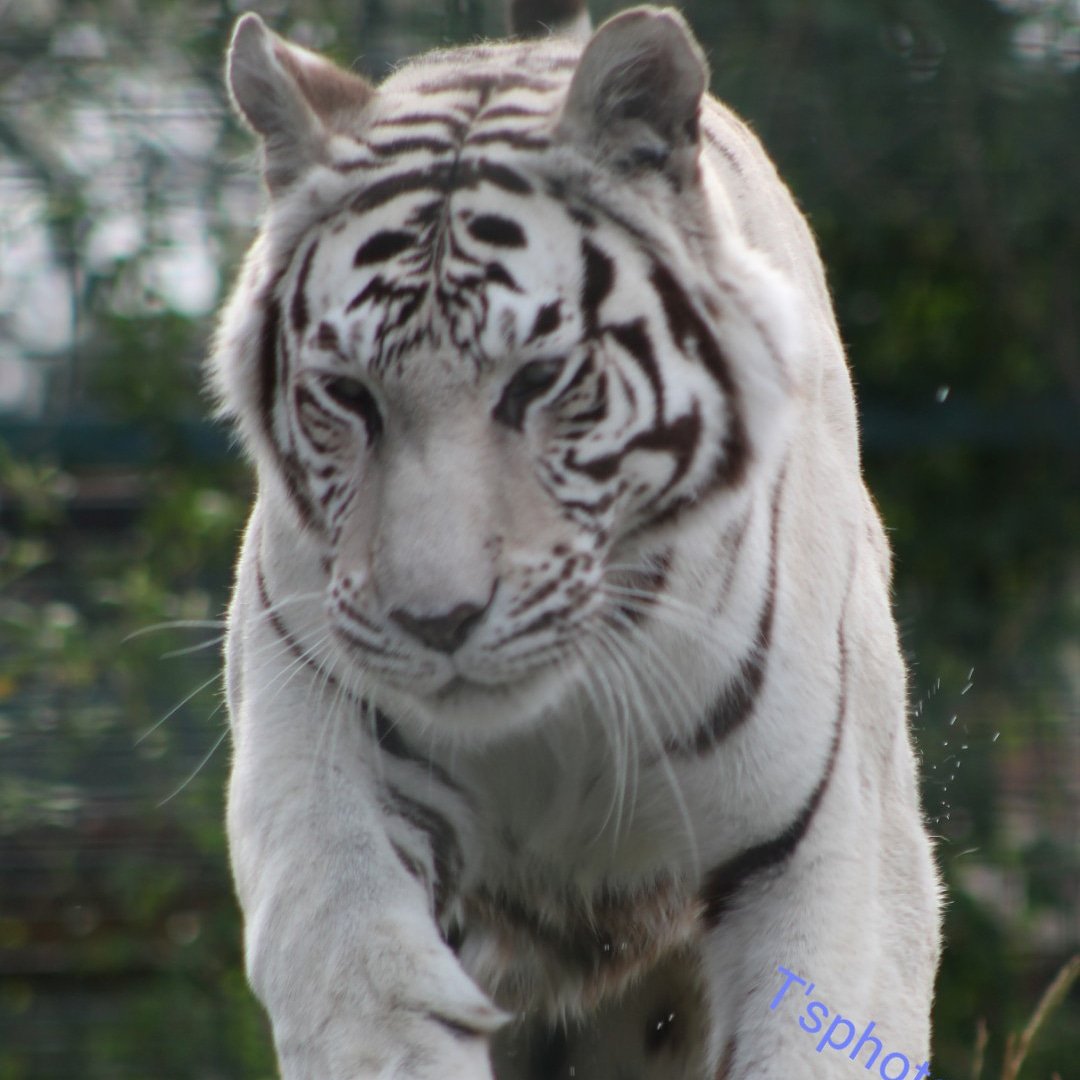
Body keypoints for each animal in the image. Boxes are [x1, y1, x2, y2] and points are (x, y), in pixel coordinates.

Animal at [210, 2, 942, 1077]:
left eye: (538, 379)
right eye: (348, 394)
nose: (439, 621)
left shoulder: (827, 838)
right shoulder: (322, 751)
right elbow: (373, 997)